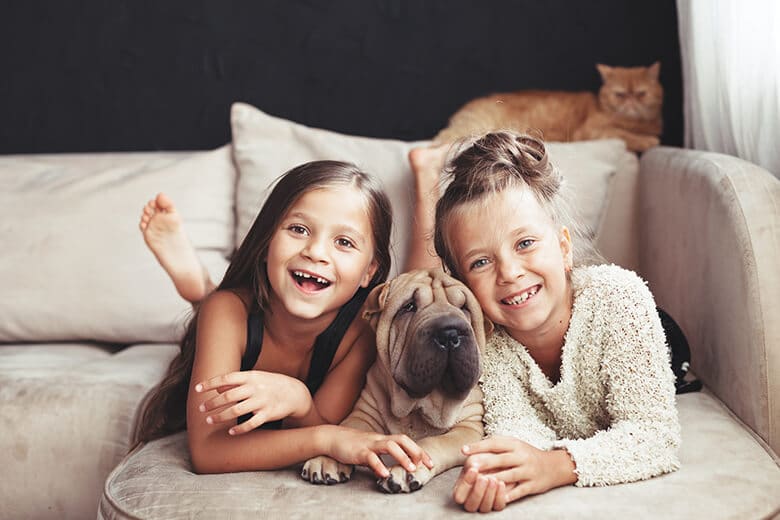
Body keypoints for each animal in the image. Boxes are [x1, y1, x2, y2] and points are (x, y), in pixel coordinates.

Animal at [304, 268, 490, 492]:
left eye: (464, 307)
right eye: (409, 307)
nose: (449, 332)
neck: (418, 406)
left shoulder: (470, 428)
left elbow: (434, 442)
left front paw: (407, 467)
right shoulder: (364, 413)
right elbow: (346, 429)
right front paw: (326, 457)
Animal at [432, 62, 664, 152]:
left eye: (641, 94)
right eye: (620, 94)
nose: (631, 101)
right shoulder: (592, 131)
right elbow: (626, 135)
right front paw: (648, 141)